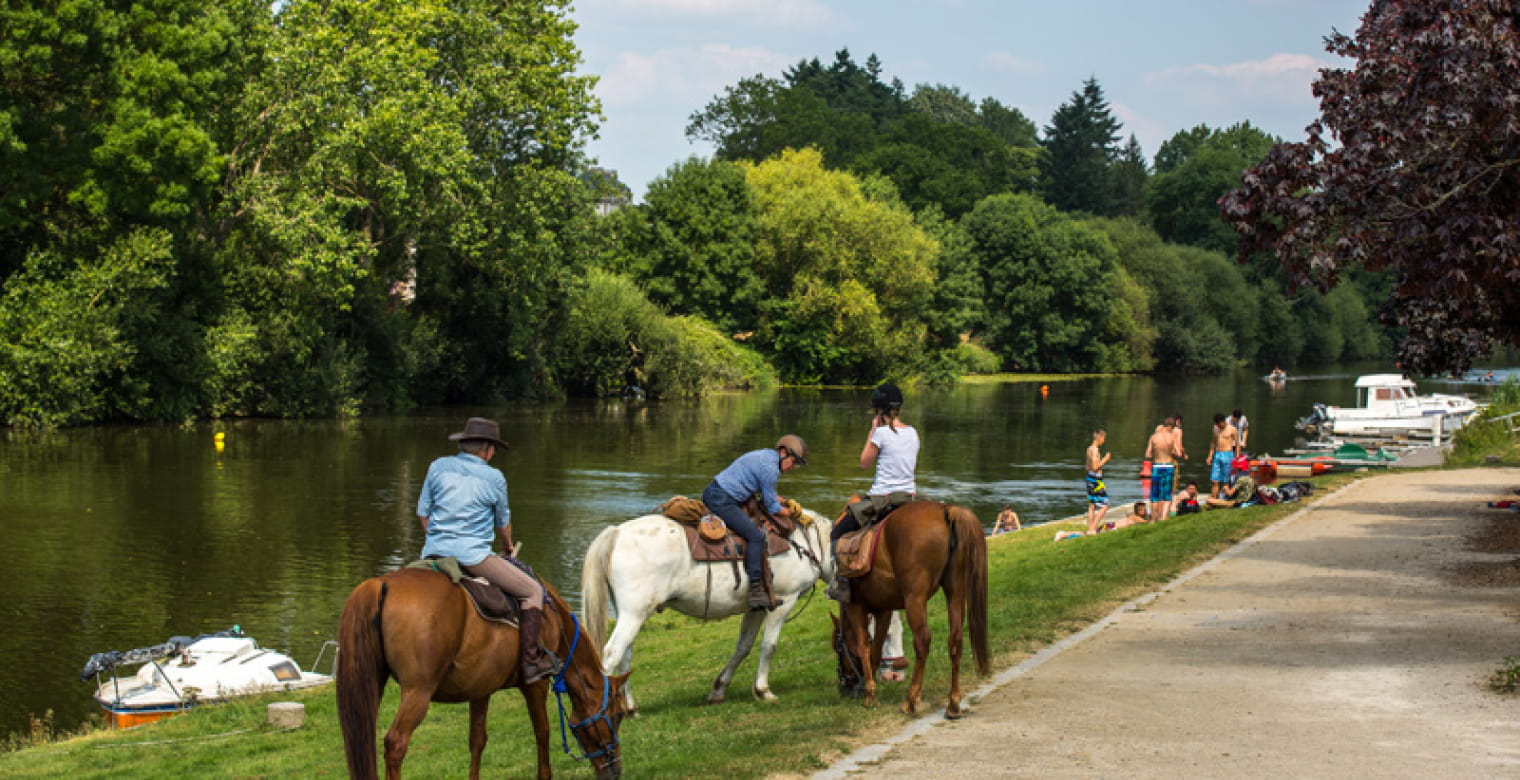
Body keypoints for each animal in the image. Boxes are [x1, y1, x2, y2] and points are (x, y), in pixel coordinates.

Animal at [338, 565, 629, 778]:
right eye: (617, 715)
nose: (616, 769)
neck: (552, 616)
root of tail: (380, 583)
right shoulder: (534, 685)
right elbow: (543, 731)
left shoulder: (481, 689)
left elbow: (477, 740)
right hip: (418, 692)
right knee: (395, 744)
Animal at [580, 504, 839, 705]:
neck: (805, 543)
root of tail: (616, 532)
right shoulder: (785, 600)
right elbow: (769, 645)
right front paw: (763, 690)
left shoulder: (757, 607)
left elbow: (743, 647)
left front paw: (719, 689)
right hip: (633, 614)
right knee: (611, 654)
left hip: (631, 613)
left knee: (625, 655)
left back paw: (631, 708)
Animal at [826, 501, 991, 714]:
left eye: (836, 647)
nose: (843, 687)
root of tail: (946, 510)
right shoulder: (884, 610)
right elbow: (876, 649)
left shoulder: (855, 606)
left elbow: (863, 647)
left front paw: (869, 695)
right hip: (955, 591)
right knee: (955, 639)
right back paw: (953, 703)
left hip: (915, 598)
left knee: (922, 641)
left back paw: (911, 700)